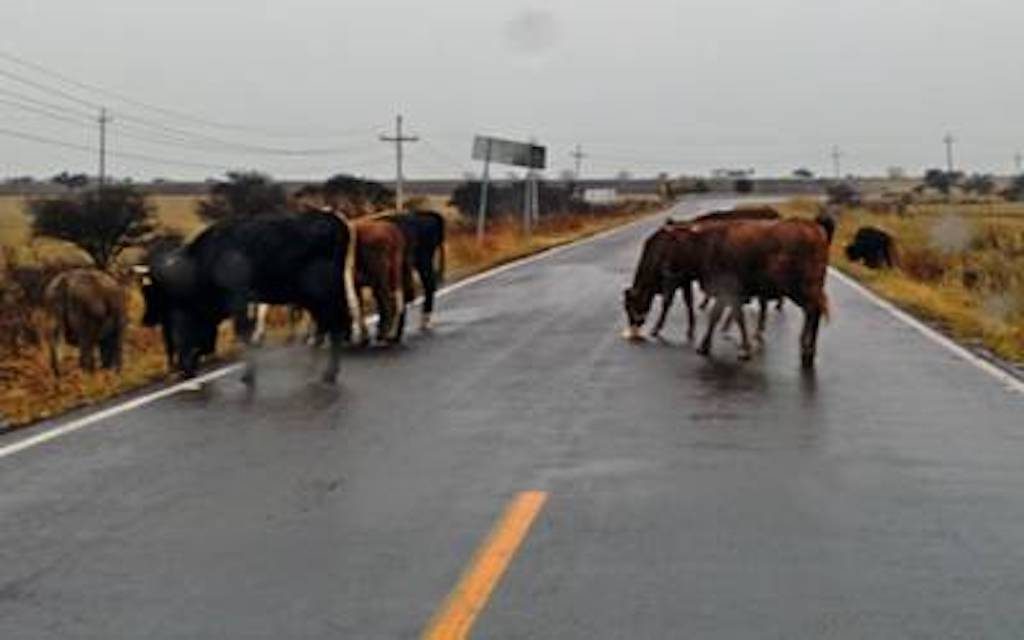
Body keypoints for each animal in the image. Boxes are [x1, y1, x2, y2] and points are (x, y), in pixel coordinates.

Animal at [135, 210, 360, 385]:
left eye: (151, 292)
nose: (146, 320)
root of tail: (333, 220)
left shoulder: (238, 299)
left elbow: (241, 332)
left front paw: (248, 376)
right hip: (315, 298)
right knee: (328, 324)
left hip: (324, 295)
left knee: (335, 324)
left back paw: (328, 373)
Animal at [679, 215, 831, 366]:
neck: (708, 243)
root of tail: (813, 228)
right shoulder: (727, 295)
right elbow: (719, 317)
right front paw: (706, 346)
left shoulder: (729, 292)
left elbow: (730, 317)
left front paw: (744, 350)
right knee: (814, 312)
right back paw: (809, 351)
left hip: (800, 290)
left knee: (812, 311)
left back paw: (806, 347)